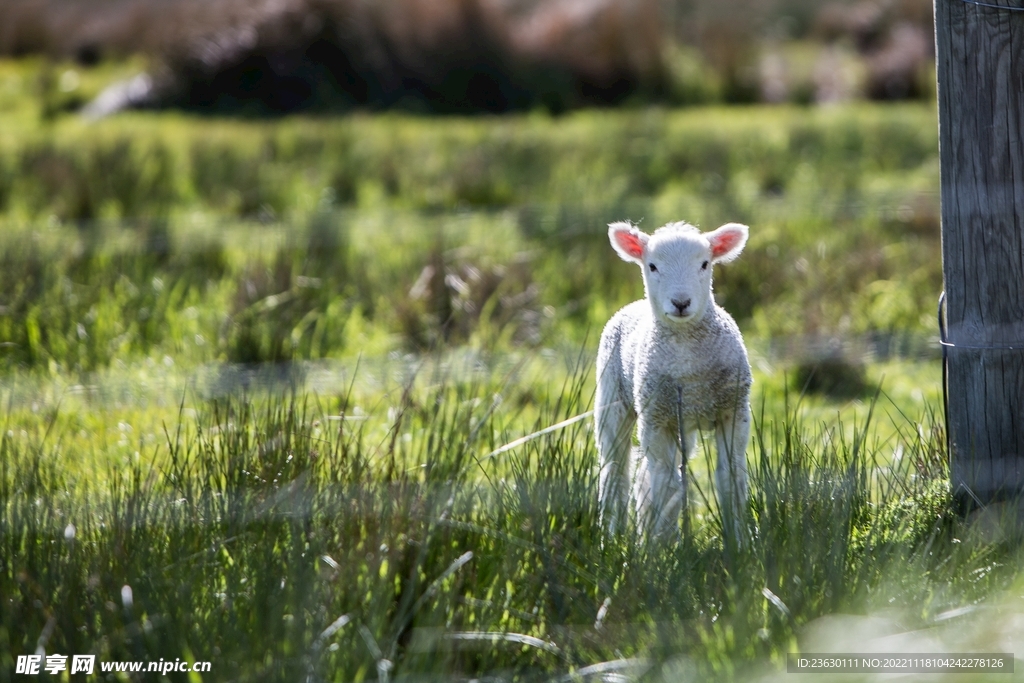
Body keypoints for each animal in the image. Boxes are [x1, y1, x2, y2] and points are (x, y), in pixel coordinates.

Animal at [593, 219, 753, 540]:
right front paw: (663, 545)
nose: (681, 302)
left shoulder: (733, 411)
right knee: (616, 470)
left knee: (648, 473)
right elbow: (666, 486)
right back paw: (613, 535)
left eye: (705, 264)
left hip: (682, 422)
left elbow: (731, 478)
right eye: (652, 266)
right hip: (612, 399)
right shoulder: (656, 419)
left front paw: (738, 541)